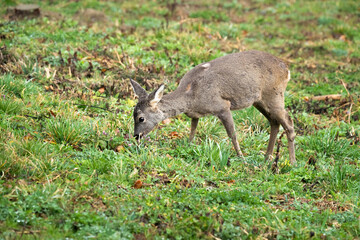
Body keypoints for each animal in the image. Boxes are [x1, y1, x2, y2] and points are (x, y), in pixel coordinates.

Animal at [129, 50, 296, 164]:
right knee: (274, 122)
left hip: (274, 94)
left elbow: (232, 134)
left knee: (288, 122)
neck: (191, 96)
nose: (136, 135)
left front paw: (241, 158)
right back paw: (267, 158)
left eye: (141, 118)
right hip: (259, 100)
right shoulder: (195, 114)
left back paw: (292, 163)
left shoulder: (222, 106)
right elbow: (192, 130)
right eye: (133, 115)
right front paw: (188, 146)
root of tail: (287, 70)